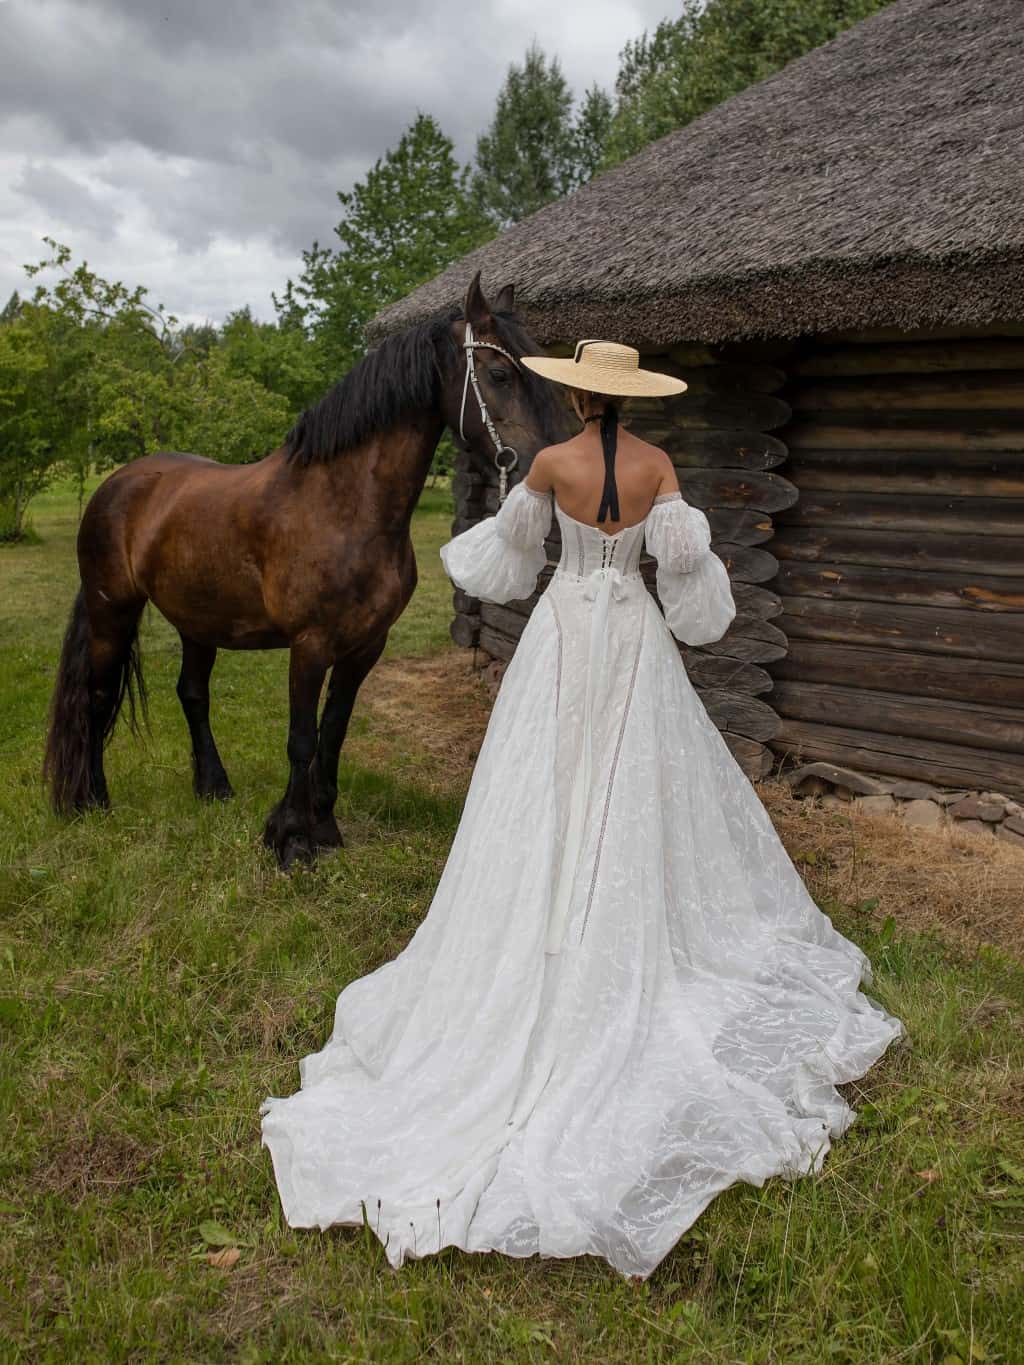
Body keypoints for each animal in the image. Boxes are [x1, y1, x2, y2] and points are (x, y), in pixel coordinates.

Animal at [44, 275, 565, 868]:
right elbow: (301, 738)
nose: (548, 469)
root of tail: (116, 484)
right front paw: (291, 839)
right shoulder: (310, 644)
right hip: (112, 610)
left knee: (192, 694)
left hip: (198, 622)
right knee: (97, 696)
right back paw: (90, 801)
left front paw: (326, 828)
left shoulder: (366, 647)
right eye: (500, 374)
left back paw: (213, 787)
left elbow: (332, 731)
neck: (343, 507)